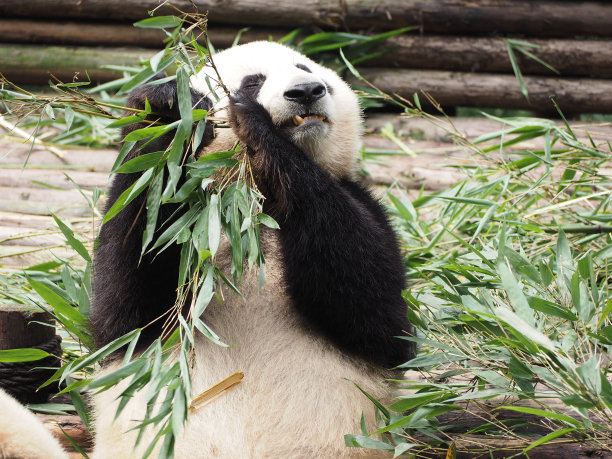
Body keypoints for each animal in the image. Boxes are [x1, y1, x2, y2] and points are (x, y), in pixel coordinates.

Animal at [0, 41, 416, 458]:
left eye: (308, 70)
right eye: (253, 81)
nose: (307, 91)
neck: (246, 208)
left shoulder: (362, 205)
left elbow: (378, 312)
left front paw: (254, 126)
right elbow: (126, 302)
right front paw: (166, 105)